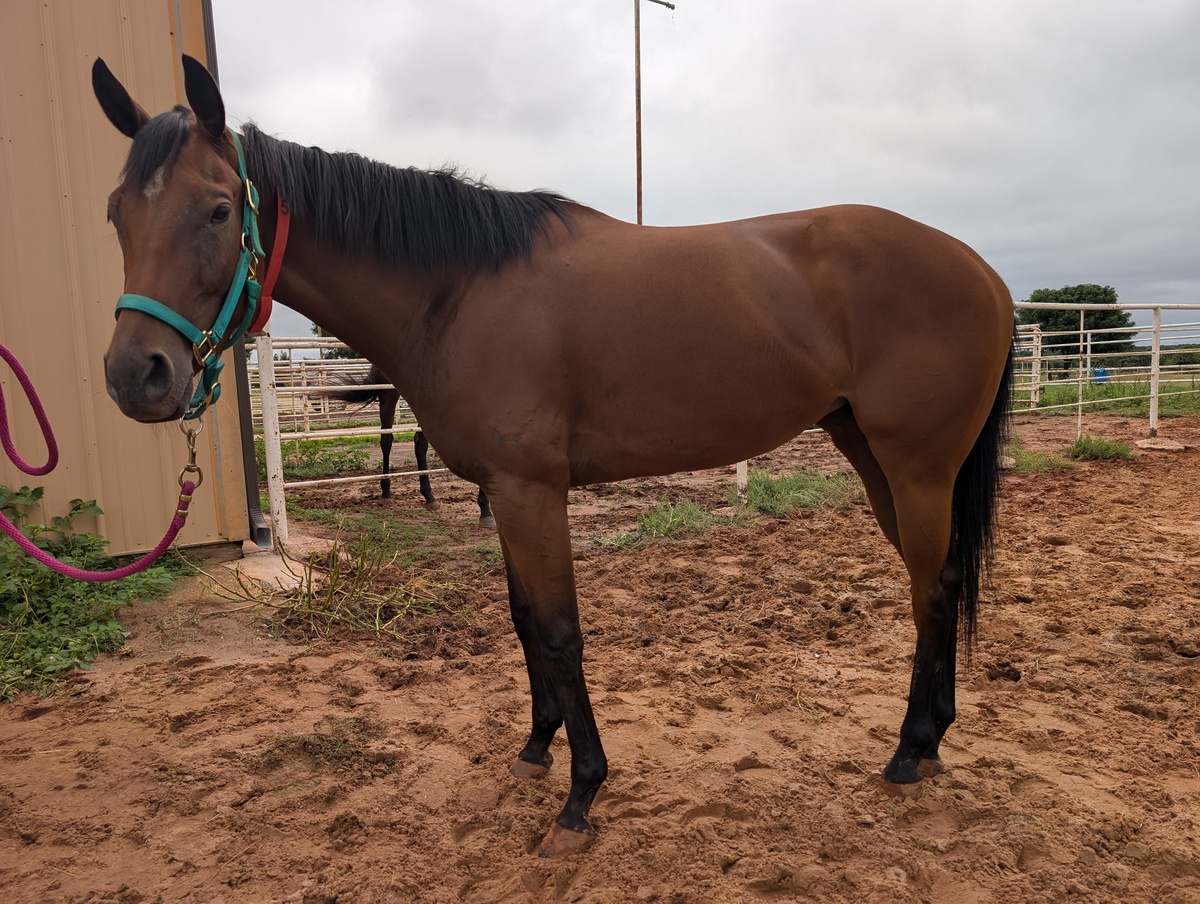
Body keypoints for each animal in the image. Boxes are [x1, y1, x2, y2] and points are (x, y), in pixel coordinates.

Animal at [332, 363, 494, 525]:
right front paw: (485, 509)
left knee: (419, 442)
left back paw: (429, 497)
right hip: (390, 393)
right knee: (387, 440)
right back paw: (386, 493)